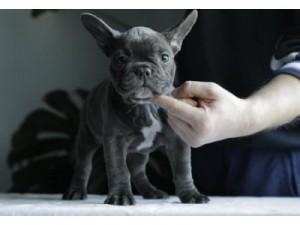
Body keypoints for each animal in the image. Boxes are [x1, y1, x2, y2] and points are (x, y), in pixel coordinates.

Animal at [63, 9, 209, 205]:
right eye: (121, 59)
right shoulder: (114, 141)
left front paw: (191, 194)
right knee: (83, 164)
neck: (145, 105)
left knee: (138, 171)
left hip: (139, 153)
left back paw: (151, 192)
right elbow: (119, 169)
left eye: (164, 57)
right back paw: (76, 191)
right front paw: (120, 196)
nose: (143, 69)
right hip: (87, 137)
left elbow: (183, 169)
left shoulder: (178, 140)